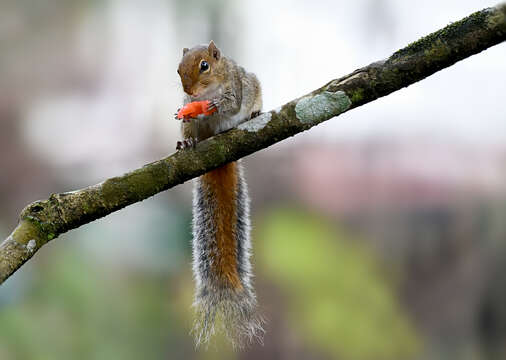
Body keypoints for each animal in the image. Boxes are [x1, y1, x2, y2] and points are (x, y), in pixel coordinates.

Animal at [177, 40, 264, 348]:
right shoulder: (186, 111)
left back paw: (254, 114)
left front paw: (216, 105)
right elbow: (187, 121)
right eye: (178, 69)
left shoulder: (236, 85)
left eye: (204, 65)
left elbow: (232, 103)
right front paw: (186, 137)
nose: (190, 92)